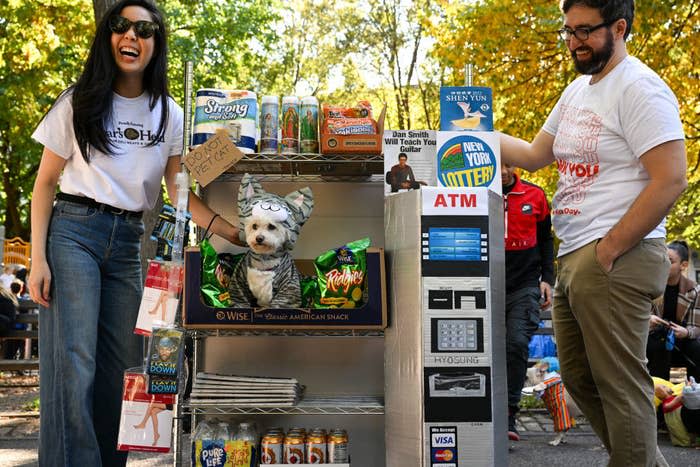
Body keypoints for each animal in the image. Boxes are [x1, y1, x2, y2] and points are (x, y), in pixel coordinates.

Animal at [228, 174, 314, 308]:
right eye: (254, 226)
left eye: (271, 226)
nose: (259, 238)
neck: (264, 259)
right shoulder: (239, 279)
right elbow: (239, 296)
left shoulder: (289, 283)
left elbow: (285, 299)